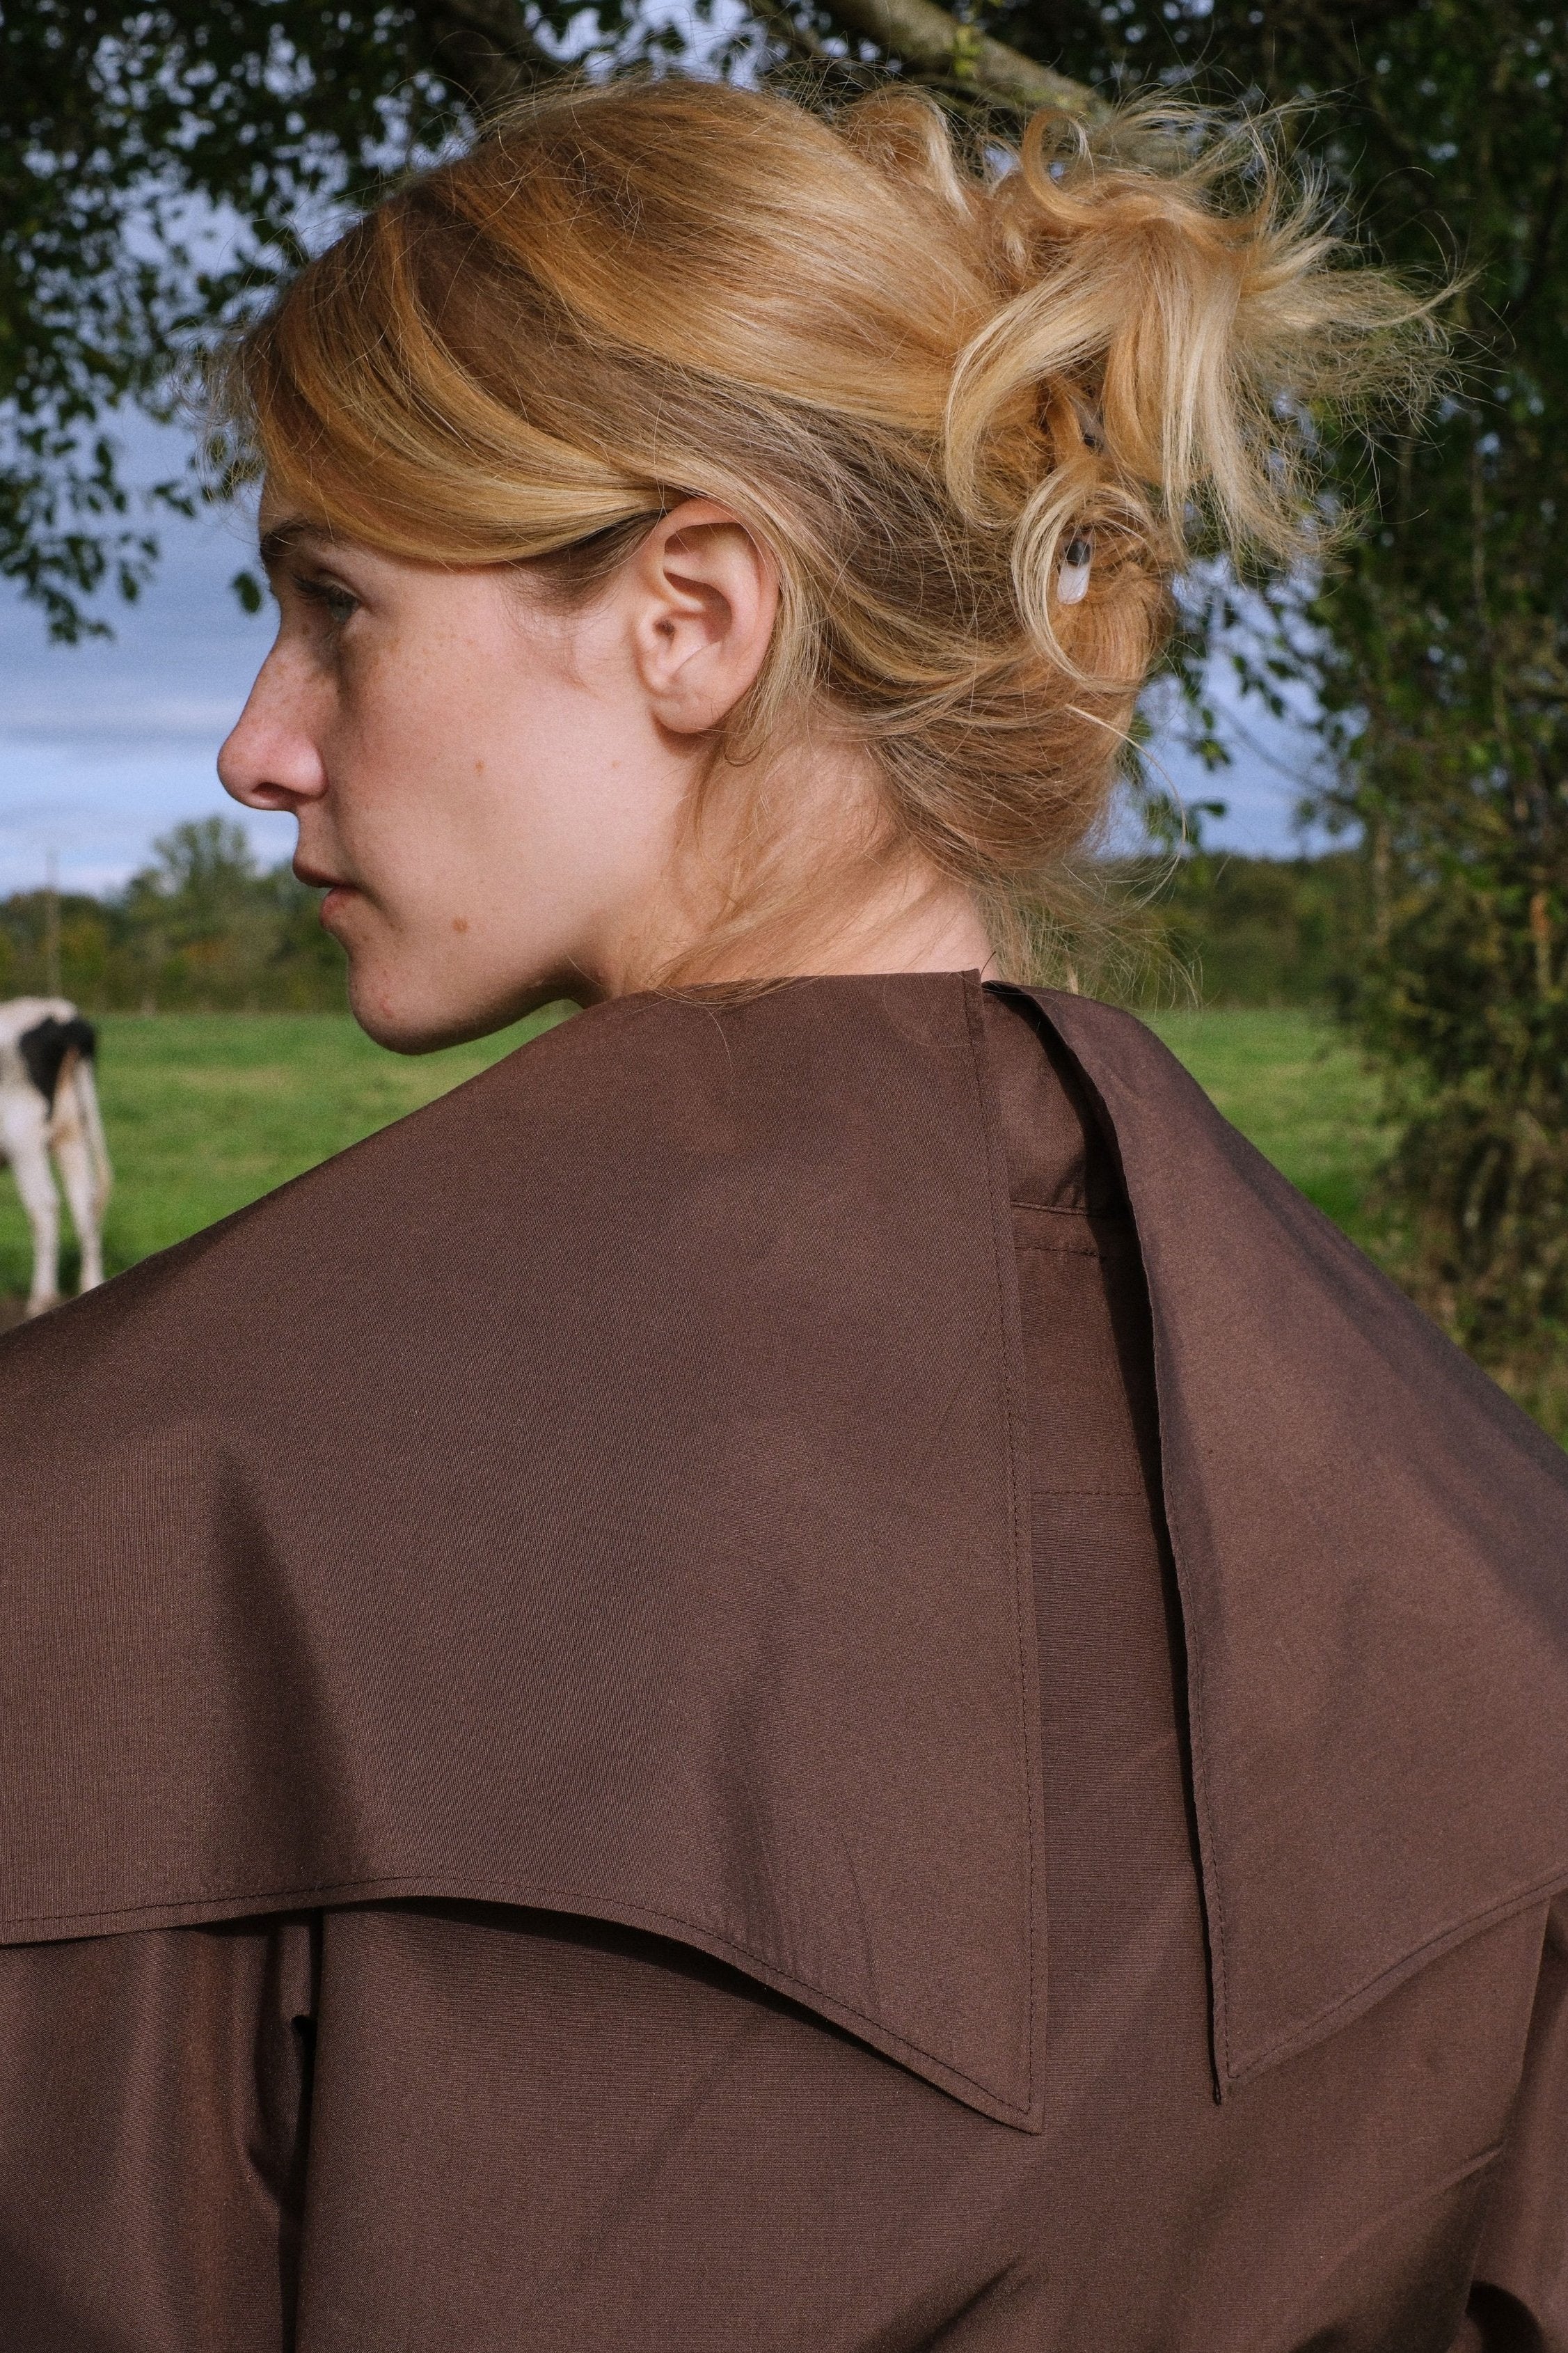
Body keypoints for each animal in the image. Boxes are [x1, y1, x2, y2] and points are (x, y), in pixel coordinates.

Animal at [0, 998, 113, 1317]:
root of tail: (62, 1013)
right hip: (72, 1133)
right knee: (84, 1201)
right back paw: (90, 1283)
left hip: (23, 1139)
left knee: (44, 1206)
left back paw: (42, 1297)